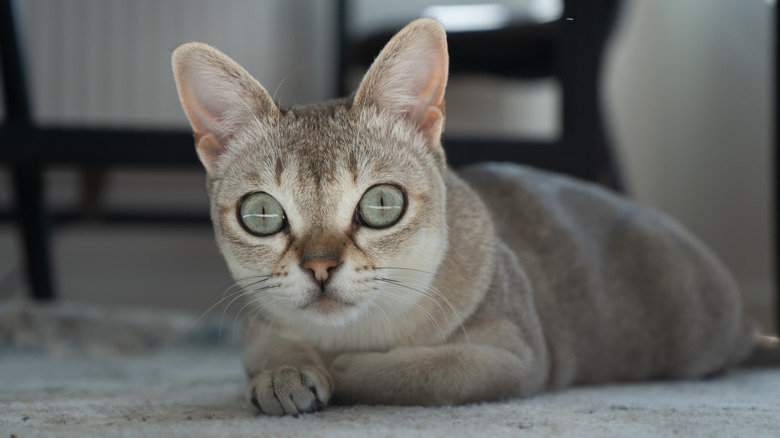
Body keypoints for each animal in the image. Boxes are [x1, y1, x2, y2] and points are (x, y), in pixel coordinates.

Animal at [174, 18, 776, 414]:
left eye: (381, 204)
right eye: (261, 214)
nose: (320, 269)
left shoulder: (512, 357)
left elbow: (419, 372)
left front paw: (341, 371)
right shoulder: (260, 325)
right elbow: (268, 349)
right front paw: (285, 374)